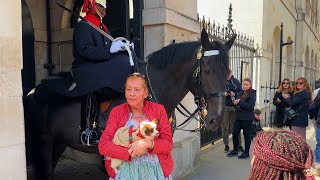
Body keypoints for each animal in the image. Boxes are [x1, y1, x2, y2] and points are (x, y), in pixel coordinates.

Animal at [24, 28, 235, 179]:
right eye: (206, 70)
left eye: (227, 72)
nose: (215, 119)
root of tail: (33, 90)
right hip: (44, 140)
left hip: (58, 141)